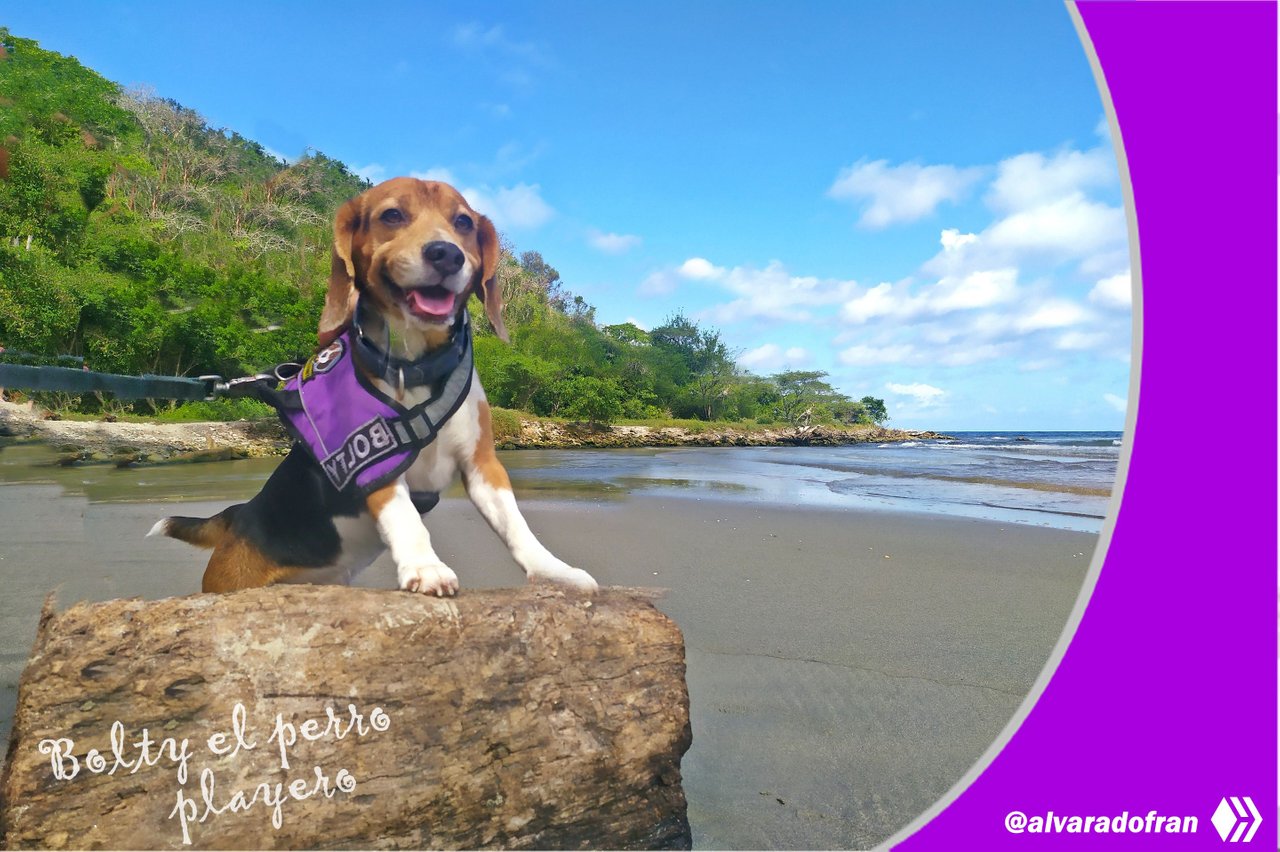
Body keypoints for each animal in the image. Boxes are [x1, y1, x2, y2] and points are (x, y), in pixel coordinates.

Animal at [152, 175, 601, 593]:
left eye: (463, 222)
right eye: (392, 215)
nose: (446, 254)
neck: (414, 368)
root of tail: (237, 515)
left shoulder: (482, 465)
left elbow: (516, 526)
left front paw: (554, 571)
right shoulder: (373, 460)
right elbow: (407, 518)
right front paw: (425, 567)